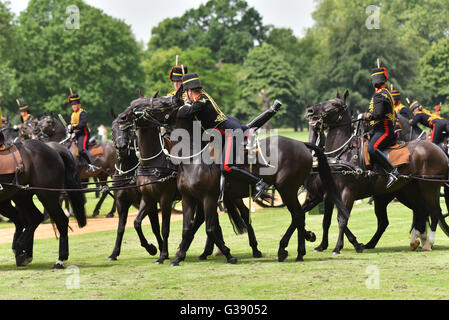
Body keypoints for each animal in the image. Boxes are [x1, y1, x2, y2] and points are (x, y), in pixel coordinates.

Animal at [0, 139, 86, 268]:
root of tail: (51, 148)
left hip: (46, 196)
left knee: (59, 220)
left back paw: (59, 259)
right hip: (21, 197)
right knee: (30, 219)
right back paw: (23, 252)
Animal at [302, 90, 446, 252]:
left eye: (334, 104)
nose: (310, 111)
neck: (342, 154)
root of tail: (438, 149)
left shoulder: (347, 192)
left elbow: (342, 218)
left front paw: (338, 247)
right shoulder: (328, 194)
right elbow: (326, 219)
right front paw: (322, 245)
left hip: (429, 187)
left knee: (434, 212)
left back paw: (427, 242)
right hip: (405, 191)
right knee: (417, 212)